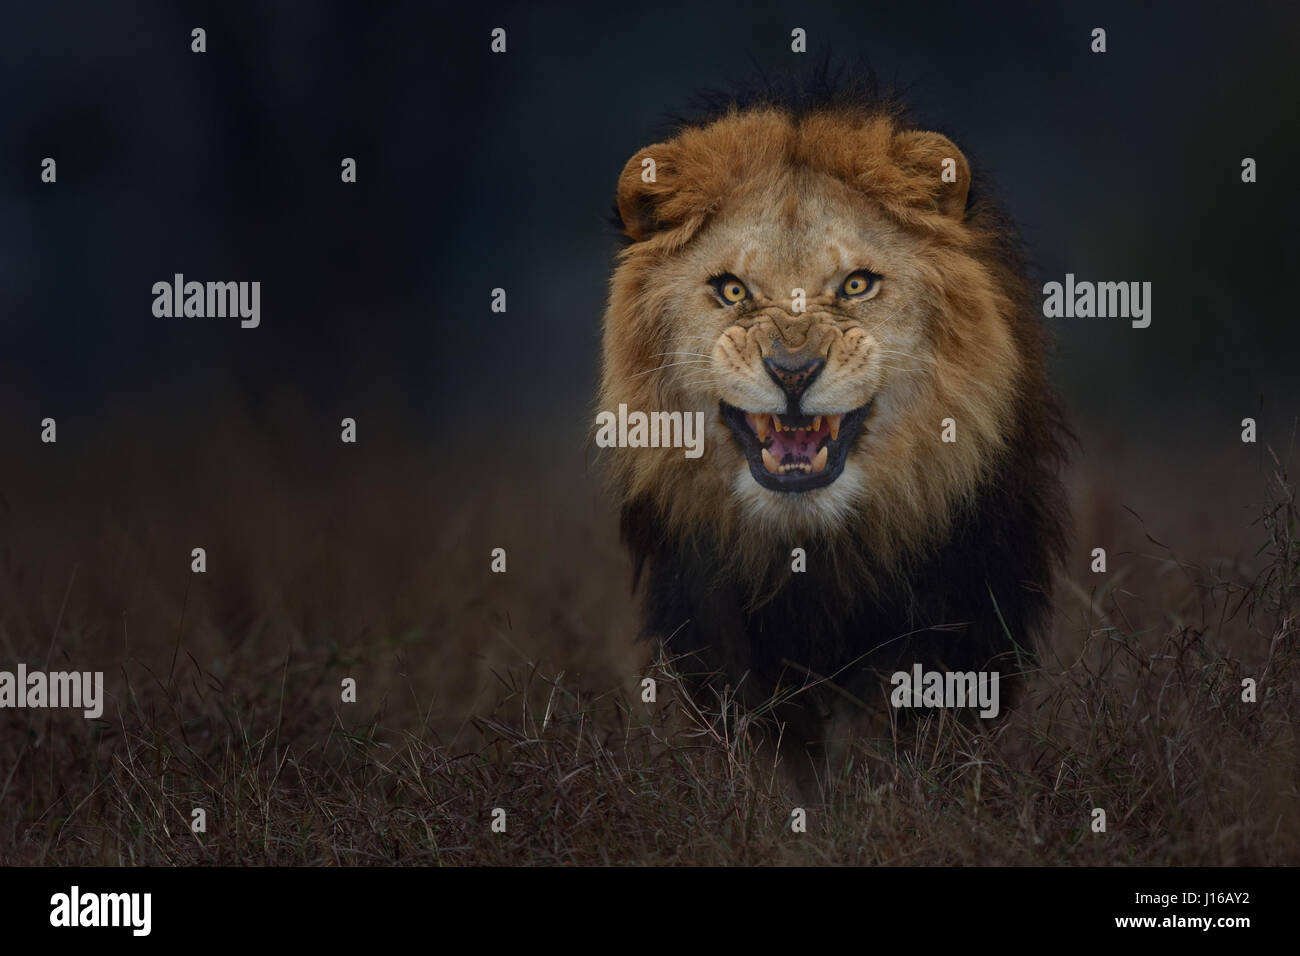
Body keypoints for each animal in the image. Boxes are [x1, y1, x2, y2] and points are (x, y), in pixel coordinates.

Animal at [595, 72, 1066, 790]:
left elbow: (900, 743)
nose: (793, 372)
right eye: (733, 291)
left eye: (856, 284)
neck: (812, 543)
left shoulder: (958, 617)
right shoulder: (715, 624)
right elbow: (773, 755)